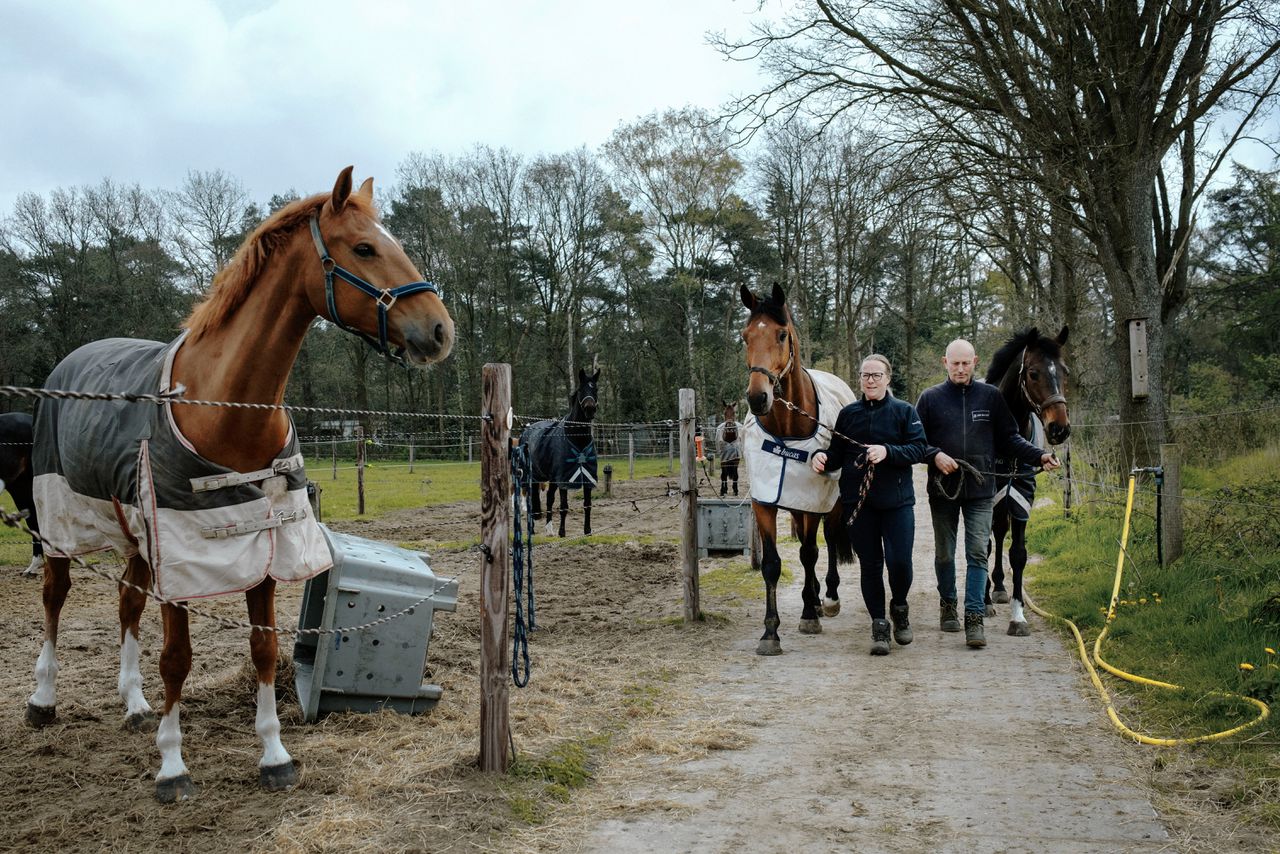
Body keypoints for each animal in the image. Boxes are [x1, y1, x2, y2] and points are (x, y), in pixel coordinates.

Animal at [26, 166, 455, 804]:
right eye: (363, 248)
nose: (440, 330)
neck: (226, 409)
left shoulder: (265, 548)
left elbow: (265, 648)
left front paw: (275, 756)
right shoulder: (181, 556)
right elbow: (177, 658)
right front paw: (173, 767)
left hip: (135, 535)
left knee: (128, 603)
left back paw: (134, 705)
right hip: (58, 525)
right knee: (55, 598)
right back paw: (43, 699)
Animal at [514, 368, 599, 535]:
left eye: (595, 389)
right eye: (581, 389)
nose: (590, 409)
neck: (578, 439)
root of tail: (526, 430)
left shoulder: (587, 477)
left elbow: (587, 504)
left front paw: (587, 530)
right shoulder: (564, 479)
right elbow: (564, 506)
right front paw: (562, 532)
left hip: (549, 478)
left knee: (548, 498)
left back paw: (549, 529)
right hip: (529, 476)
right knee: (530, 498)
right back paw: (532, 529)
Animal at [737, 281, 855, 655]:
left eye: (781, 334)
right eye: (745, 336)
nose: (757, 397)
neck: (787, 430)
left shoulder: (811, 502)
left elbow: (809, 552)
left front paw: (808, 615)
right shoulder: (765, 503)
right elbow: (772, 564)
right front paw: (770, 632)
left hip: (829, 504)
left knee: (826, 542)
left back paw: (826, 599)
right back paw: (814, 597)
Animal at [983, 327, 1075, 635]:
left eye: (1065, 371)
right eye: (1033, 373)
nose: (1059, 428)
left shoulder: (1023, 496)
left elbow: (1018, 554)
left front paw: (1018, 616)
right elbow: (982, 547)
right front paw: (984, 603)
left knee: (1001, 532)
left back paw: (999, 586)